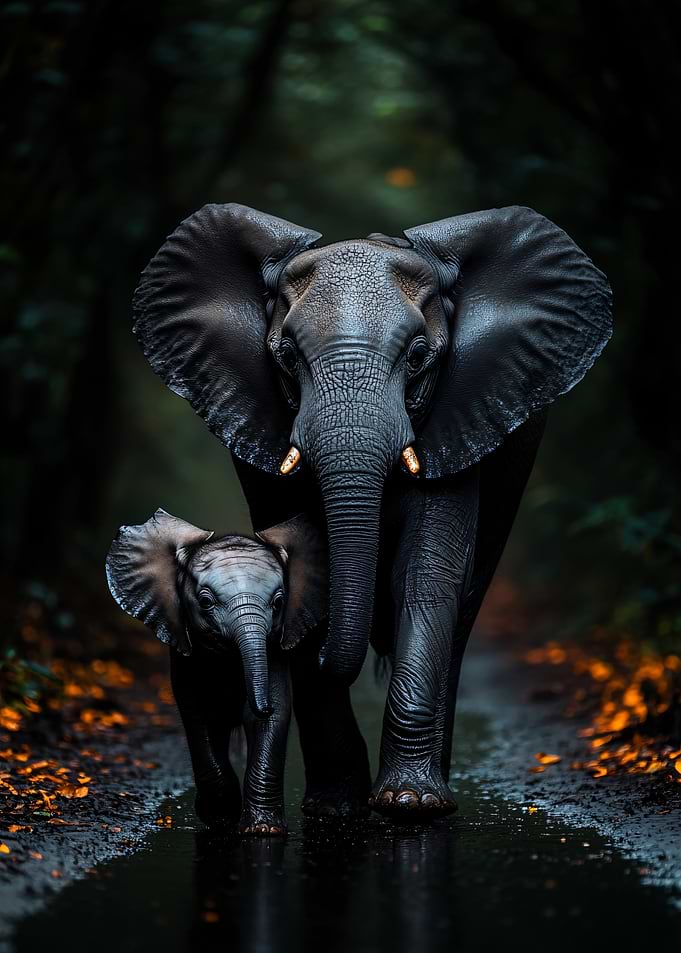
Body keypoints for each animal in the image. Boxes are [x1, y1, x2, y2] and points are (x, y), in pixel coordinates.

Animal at [106, 508, 328, 834]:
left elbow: (272, 718)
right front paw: (221, 816)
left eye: (278, 602)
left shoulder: (273, 653)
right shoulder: (186, 655)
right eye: (206, 602)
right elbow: (198, 715)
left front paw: (262, 830)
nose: (262, 704)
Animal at [131, 203, 612, 819]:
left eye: (419, 356)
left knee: (462, 608)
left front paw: (408, 802)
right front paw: (336, 808)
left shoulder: (460, 414)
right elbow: (307, 564)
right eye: (286, 357)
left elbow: (425, 575)